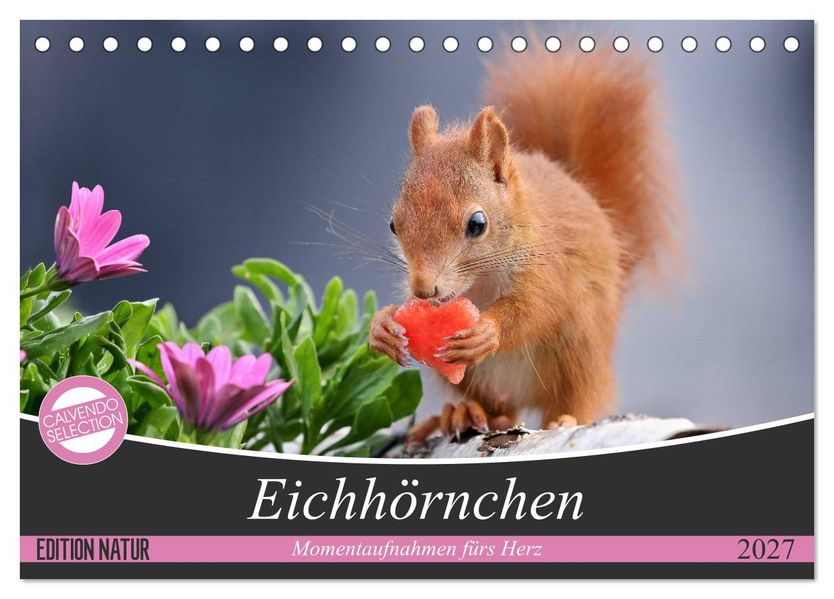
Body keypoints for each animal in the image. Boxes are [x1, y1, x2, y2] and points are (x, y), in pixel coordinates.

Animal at [369, 42, 679, 443]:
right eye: (394, 224)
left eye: (477, 224)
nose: (424, 289)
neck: (480, 282)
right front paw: (383, 325)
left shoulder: (547, 267)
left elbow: (537, 307)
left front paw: (488, 330)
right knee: (499, 408)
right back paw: (465, 413)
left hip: (579, 347)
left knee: (576, 396)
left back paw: (564, 419)